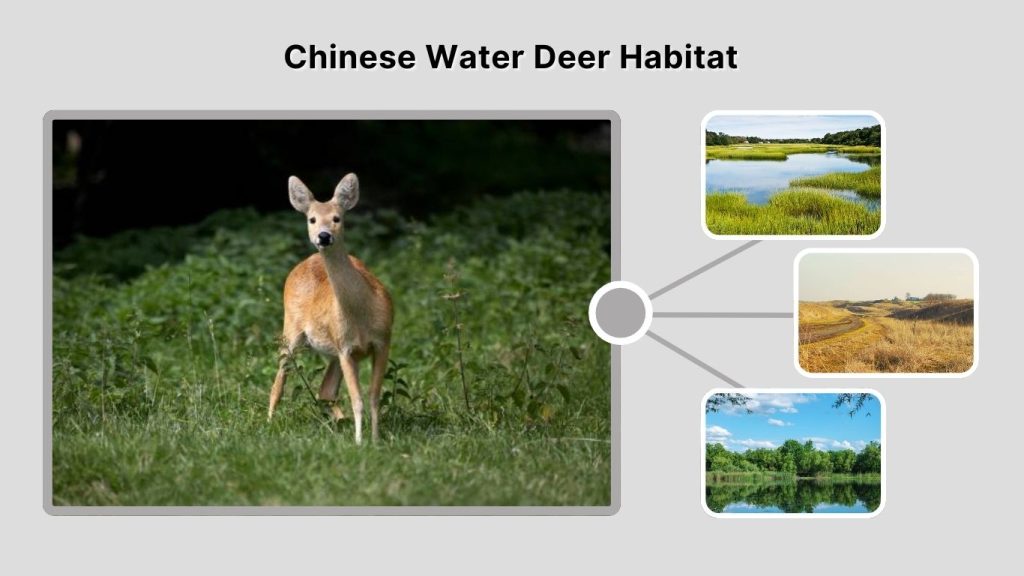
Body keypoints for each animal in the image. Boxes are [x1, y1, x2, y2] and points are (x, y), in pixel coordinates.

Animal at [266, 173, 394, 444]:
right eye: (312, 219)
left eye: (337, 218)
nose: (323, 236)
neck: (360, 315)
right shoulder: (346, 348)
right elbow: (357, 400)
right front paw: (360, 442)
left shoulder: (381, 341)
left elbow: (373, 396)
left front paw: (375, 439)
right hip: (291, 329)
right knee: (279, 381)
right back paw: (269, 423)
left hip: (334, 350)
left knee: (324, 391)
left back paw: (339, 423)